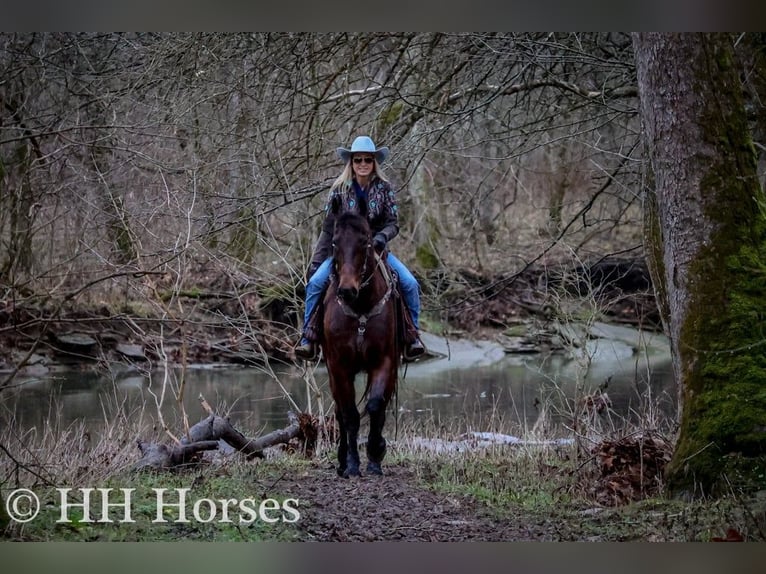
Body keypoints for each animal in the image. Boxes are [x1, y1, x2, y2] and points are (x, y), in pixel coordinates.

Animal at [320, 196, 399, 477]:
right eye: (334, 242)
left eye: (366, 240)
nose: (347, 290)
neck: (361, 306)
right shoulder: (339, 366)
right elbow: (350, 415)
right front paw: (352, 464)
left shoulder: (384, 361)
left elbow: (375, 406)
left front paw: (375, 457)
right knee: (341, 413)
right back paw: (342, 461)